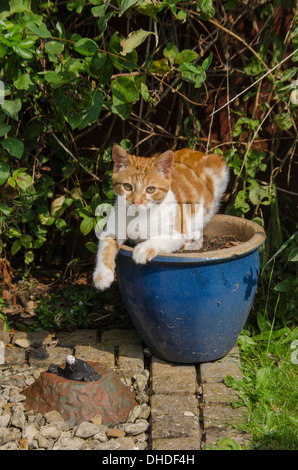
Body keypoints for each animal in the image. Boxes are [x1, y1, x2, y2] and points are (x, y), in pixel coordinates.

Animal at [93, 144, 228, 290]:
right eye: (127, 186)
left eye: (150, 189)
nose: (136, 202)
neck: (140, 216)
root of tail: (195, 150)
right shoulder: (112, 229)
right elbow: (105, 245)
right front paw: (102, 275)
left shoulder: (178, 234)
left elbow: (160, 238)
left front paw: (142, 250)